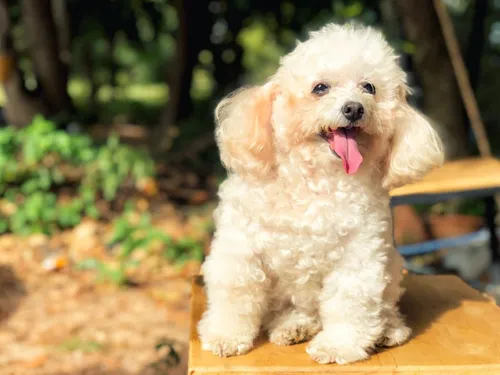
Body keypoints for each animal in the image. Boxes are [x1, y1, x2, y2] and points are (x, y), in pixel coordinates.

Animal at [197, 22, 444, 366]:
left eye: (369, 88)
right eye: (320, 88)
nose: (354, 108)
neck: (315, 180)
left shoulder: (359, 254)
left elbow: (349, 299)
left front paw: (339, 345)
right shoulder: (240, 248)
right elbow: (235, 292)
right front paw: (226, 336)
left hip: (392, 265)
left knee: (383, 306)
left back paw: (386, 330)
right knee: (296, 311)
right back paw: (294, 326)